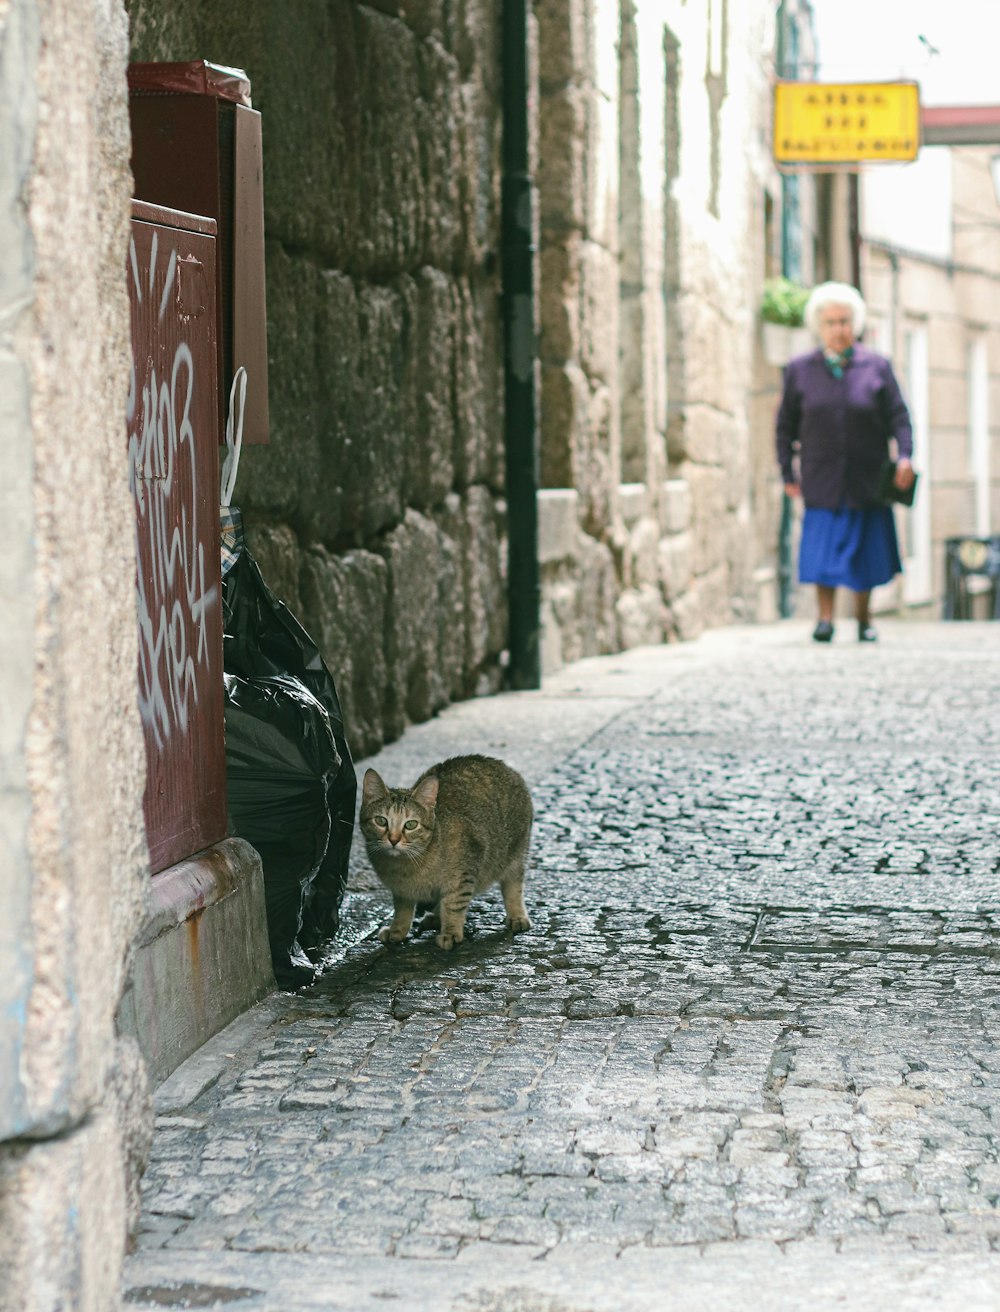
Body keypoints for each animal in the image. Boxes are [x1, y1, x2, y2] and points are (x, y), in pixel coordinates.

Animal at [359, 755, 530, 949]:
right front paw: (398, 930)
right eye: (381, 821)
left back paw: (517, 915)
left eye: (411, 824)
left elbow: (454, 904)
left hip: (515, 855)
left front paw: (451, 932)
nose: (393, 840)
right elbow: (402, 910)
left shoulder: (463, 875)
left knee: (513, 885)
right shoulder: (401, 890)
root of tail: (503, 765)